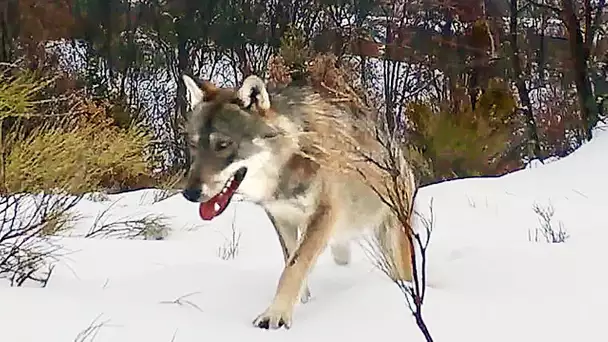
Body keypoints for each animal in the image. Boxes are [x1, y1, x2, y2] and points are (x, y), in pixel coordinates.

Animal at [180, 73, 418, 332]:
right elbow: (290, 260)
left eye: (222, 145)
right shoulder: (280, 217)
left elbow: (295, 265)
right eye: (193, 145)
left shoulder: (323, 214)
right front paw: (301, 300)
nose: (189, 193)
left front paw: (275, 315)